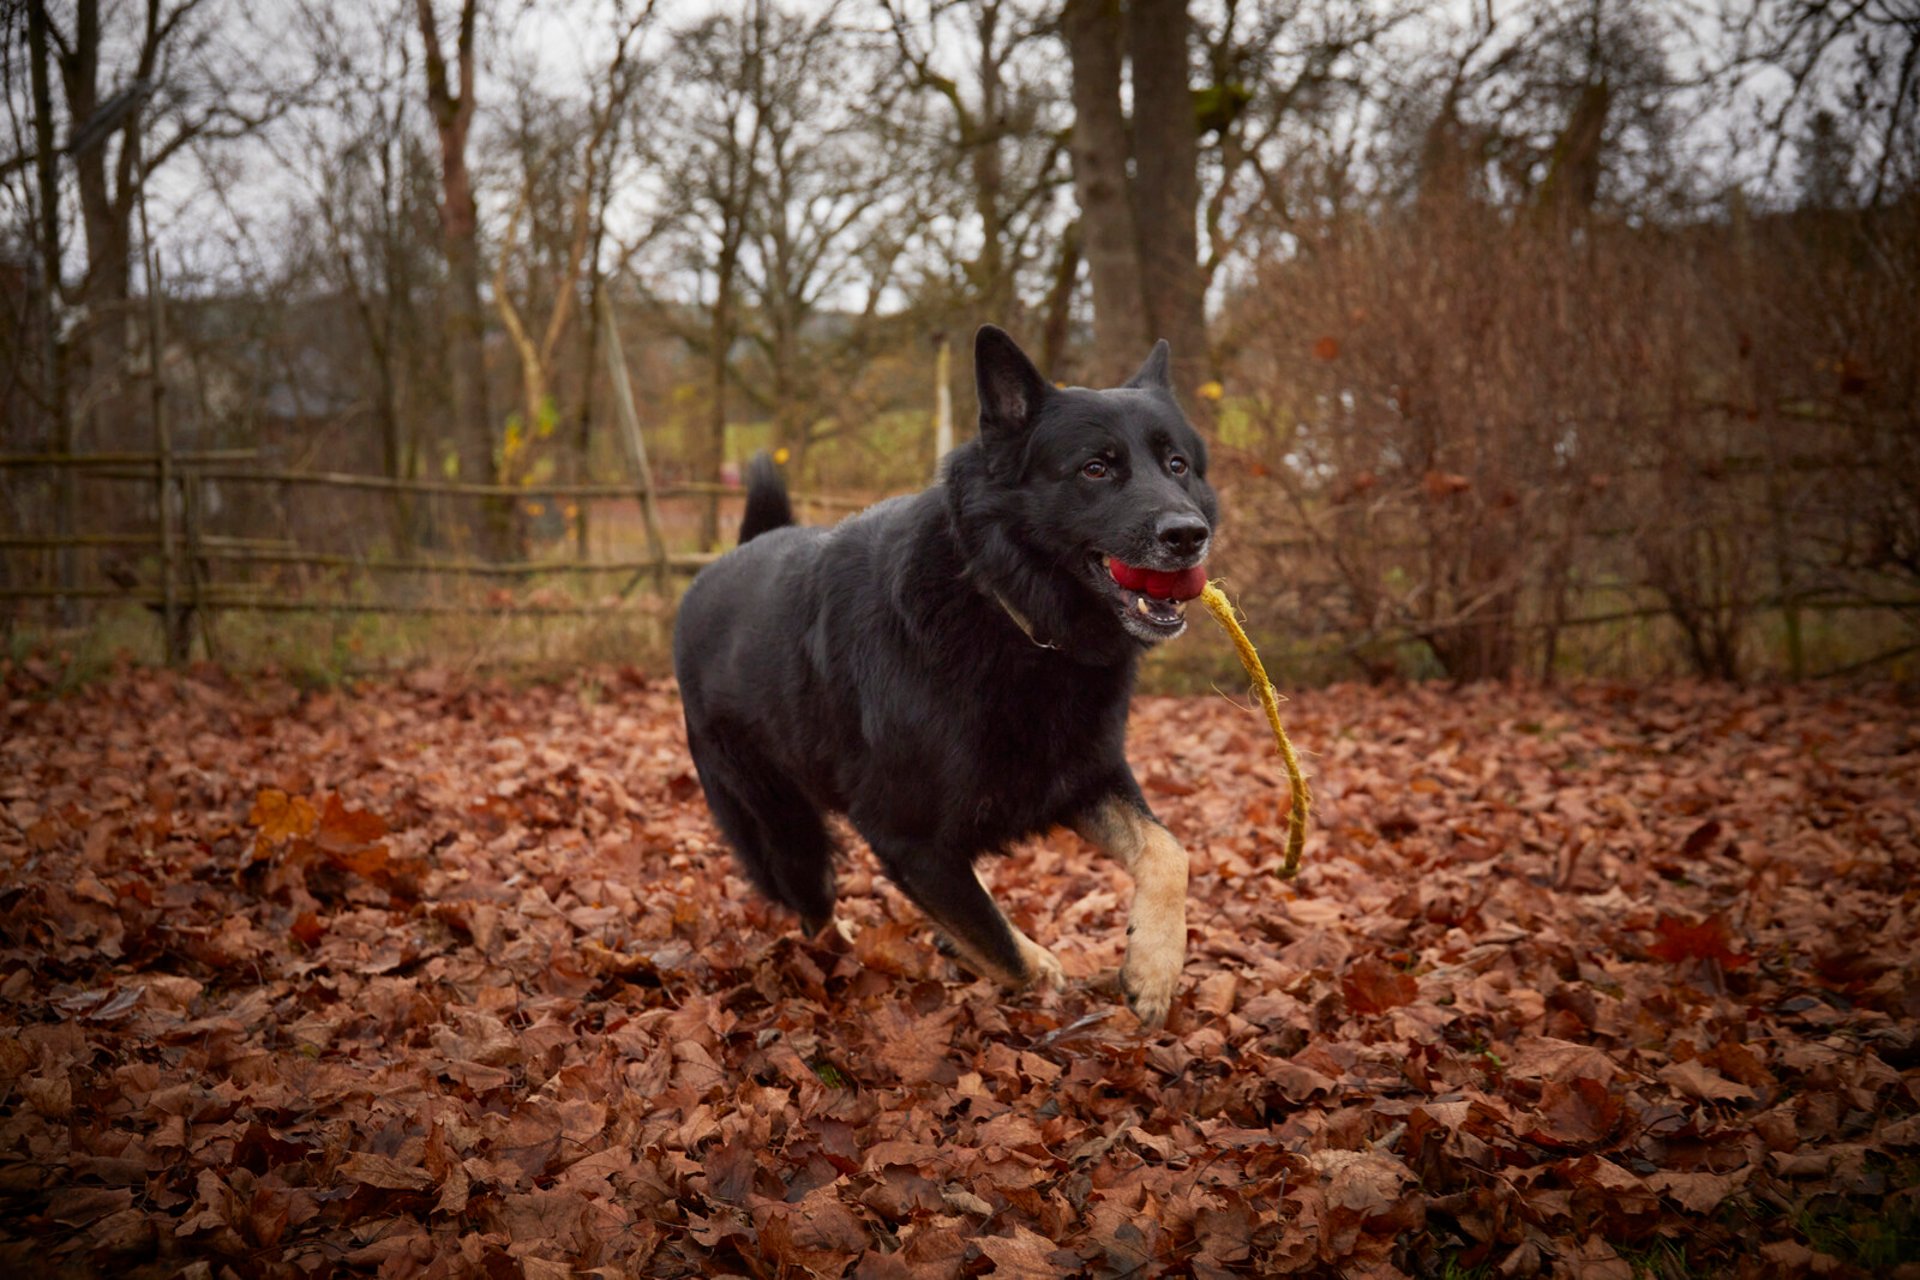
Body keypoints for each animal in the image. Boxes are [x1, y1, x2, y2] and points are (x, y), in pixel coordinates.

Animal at [675, 326, 1213, 1028]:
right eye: (1096, 468)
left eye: (1177, 465)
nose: (1189, 536)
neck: (1004, 607)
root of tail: (716, 569)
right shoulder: (906, 837)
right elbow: (1000, 948)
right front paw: (1032, 966)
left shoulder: (1082, 775)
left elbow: (1169, 850)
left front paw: (1154, 967)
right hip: (787, 836)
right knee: (818, 918)